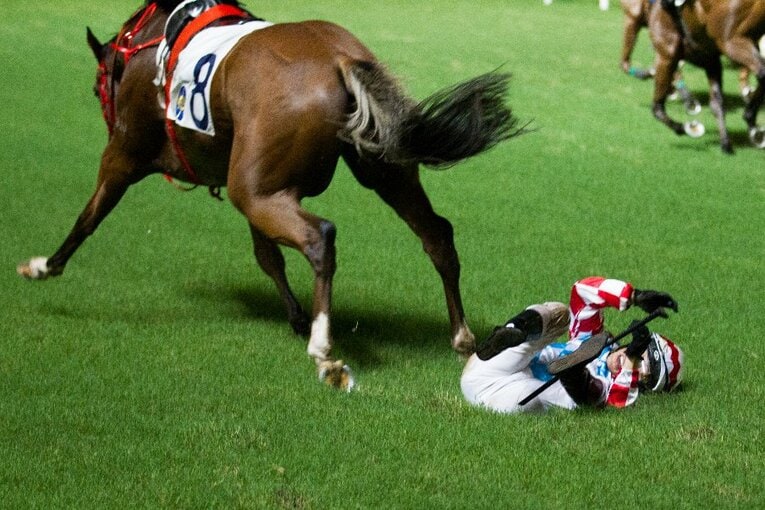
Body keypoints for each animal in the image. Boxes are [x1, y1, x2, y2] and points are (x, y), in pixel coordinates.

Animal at [16, 0, 521, 390]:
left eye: (96, 88)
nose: (103, 103)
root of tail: (338, 57)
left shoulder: (124, 153)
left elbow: (90, 215)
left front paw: (45, 265)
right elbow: (267, 256)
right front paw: (295, 315)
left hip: (257, 190)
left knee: (320, 237)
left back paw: (324, 349)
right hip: (371, 170)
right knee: (436, 234)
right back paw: (461, 337)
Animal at [646, 0, 765, 153]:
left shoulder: (666, 56)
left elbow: (657, 108)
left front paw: (687, 128)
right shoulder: (711, 60)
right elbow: (716, 104)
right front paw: (725, 143)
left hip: (731, 43)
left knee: (762, 72)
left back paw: (750, 119)